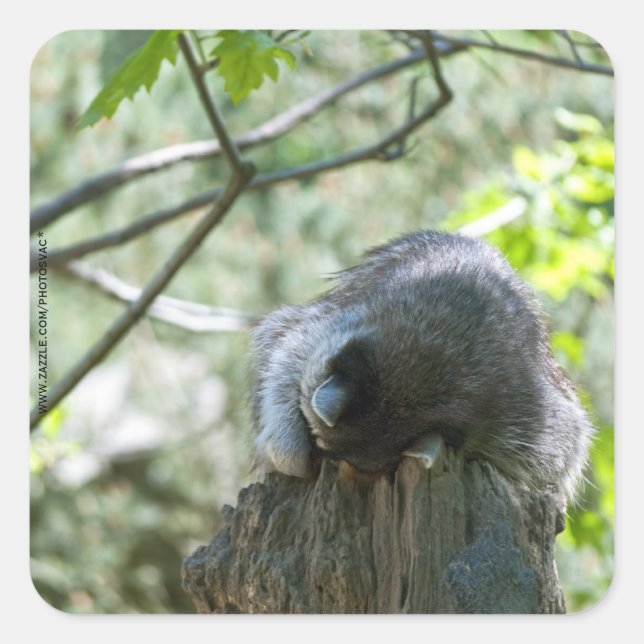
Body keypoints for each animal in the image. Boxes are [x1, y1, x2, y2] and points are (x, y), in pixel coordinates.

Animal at [249, 231, 593, 501]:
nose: (320, 461)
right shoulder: (339, 320)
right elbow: (284, 346)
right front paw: (287, 444)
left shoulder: (526, 410)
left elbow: (561, 454)